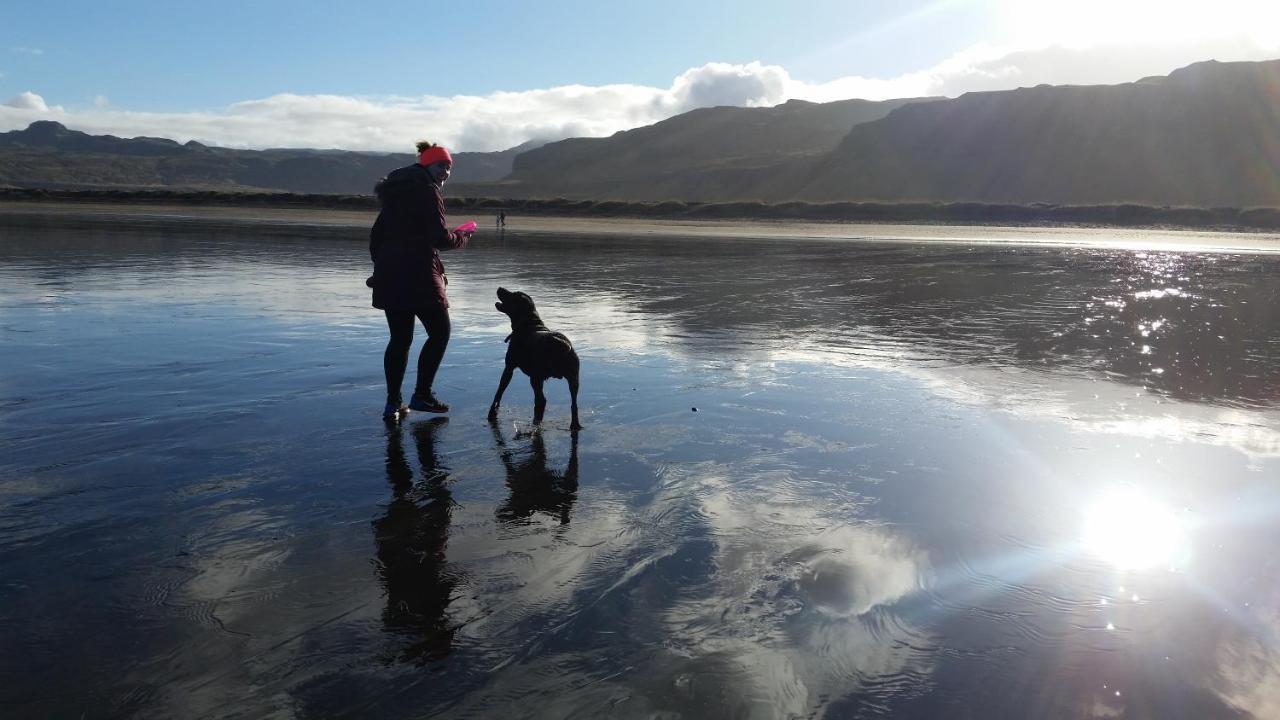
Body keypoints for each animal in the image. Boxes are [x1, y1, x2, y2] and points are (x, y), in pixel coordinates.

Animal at [486, 286, 583, 430]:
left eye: (512, 295)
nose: (499, 288)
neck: (528, 324)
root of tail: (561, 343)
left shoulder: (509, 367)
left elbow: (499, 391)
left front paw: (492, 412)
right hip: (573, 378)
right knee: (573, 404)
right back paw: (574, 425)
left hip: (536, 377)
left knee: (541, 400)